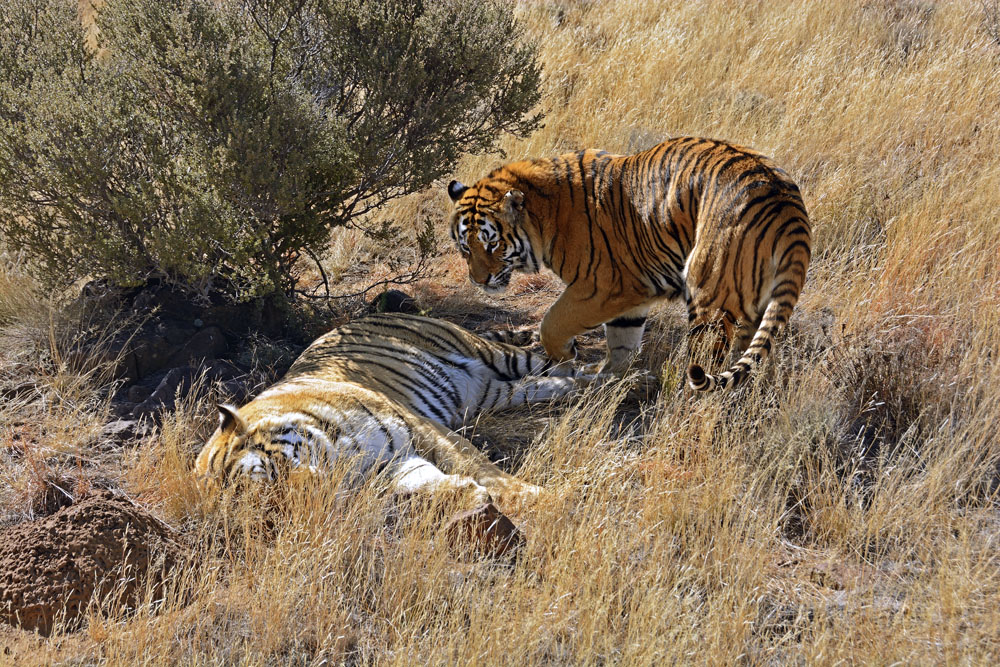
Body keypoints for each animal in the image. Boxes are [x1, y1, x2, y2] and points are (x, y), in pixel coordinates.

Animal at [194, 313, 597, 528]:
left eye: (271, 474)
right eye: (271, 507)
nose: (316, 494)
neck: (339, 457)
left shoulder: (420, 427)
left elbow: (478, 466)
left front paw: (538, 499)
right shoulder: (388, 464)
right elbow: (423, 482)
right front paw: (466, 493)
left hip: (491, 352)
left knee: (562, 360)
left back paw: (610, 376)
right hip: (494, 393)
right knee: (545, 383)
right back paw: (590, 388)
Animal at [448, 136, 811, 391]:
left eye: (492, 244)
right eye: (466, 247)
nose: (479, 280)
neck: (545, 215)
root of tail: (786, 204)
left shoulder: (599, 287)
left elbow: (552, 323)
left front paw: (566, 357)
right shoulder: (630, 294)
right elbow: (622, 343)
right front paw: (609, 378)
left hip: (708, 294)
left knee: (707, 361)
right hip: (754, 303)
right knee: (752, 361)